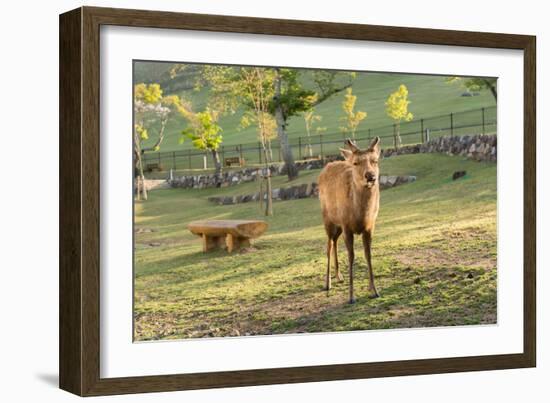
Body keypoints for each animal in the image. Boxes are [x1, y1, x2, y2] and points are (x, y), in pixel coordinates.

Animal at [320, 137, 384, 304]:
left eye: (375, 160)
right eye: (356, 163)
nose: (371, 176)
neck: (360, 215)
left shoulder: (370, 226)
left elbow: (368, 254)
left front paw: (374, 290)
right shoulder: (347, 226)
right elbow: (351, 256)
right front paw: (351, 296)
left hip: (338, 225)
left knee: (335, 242)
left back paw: (339, 276)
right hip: (327, 219)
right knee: (329, 245)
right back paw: (328, 283)